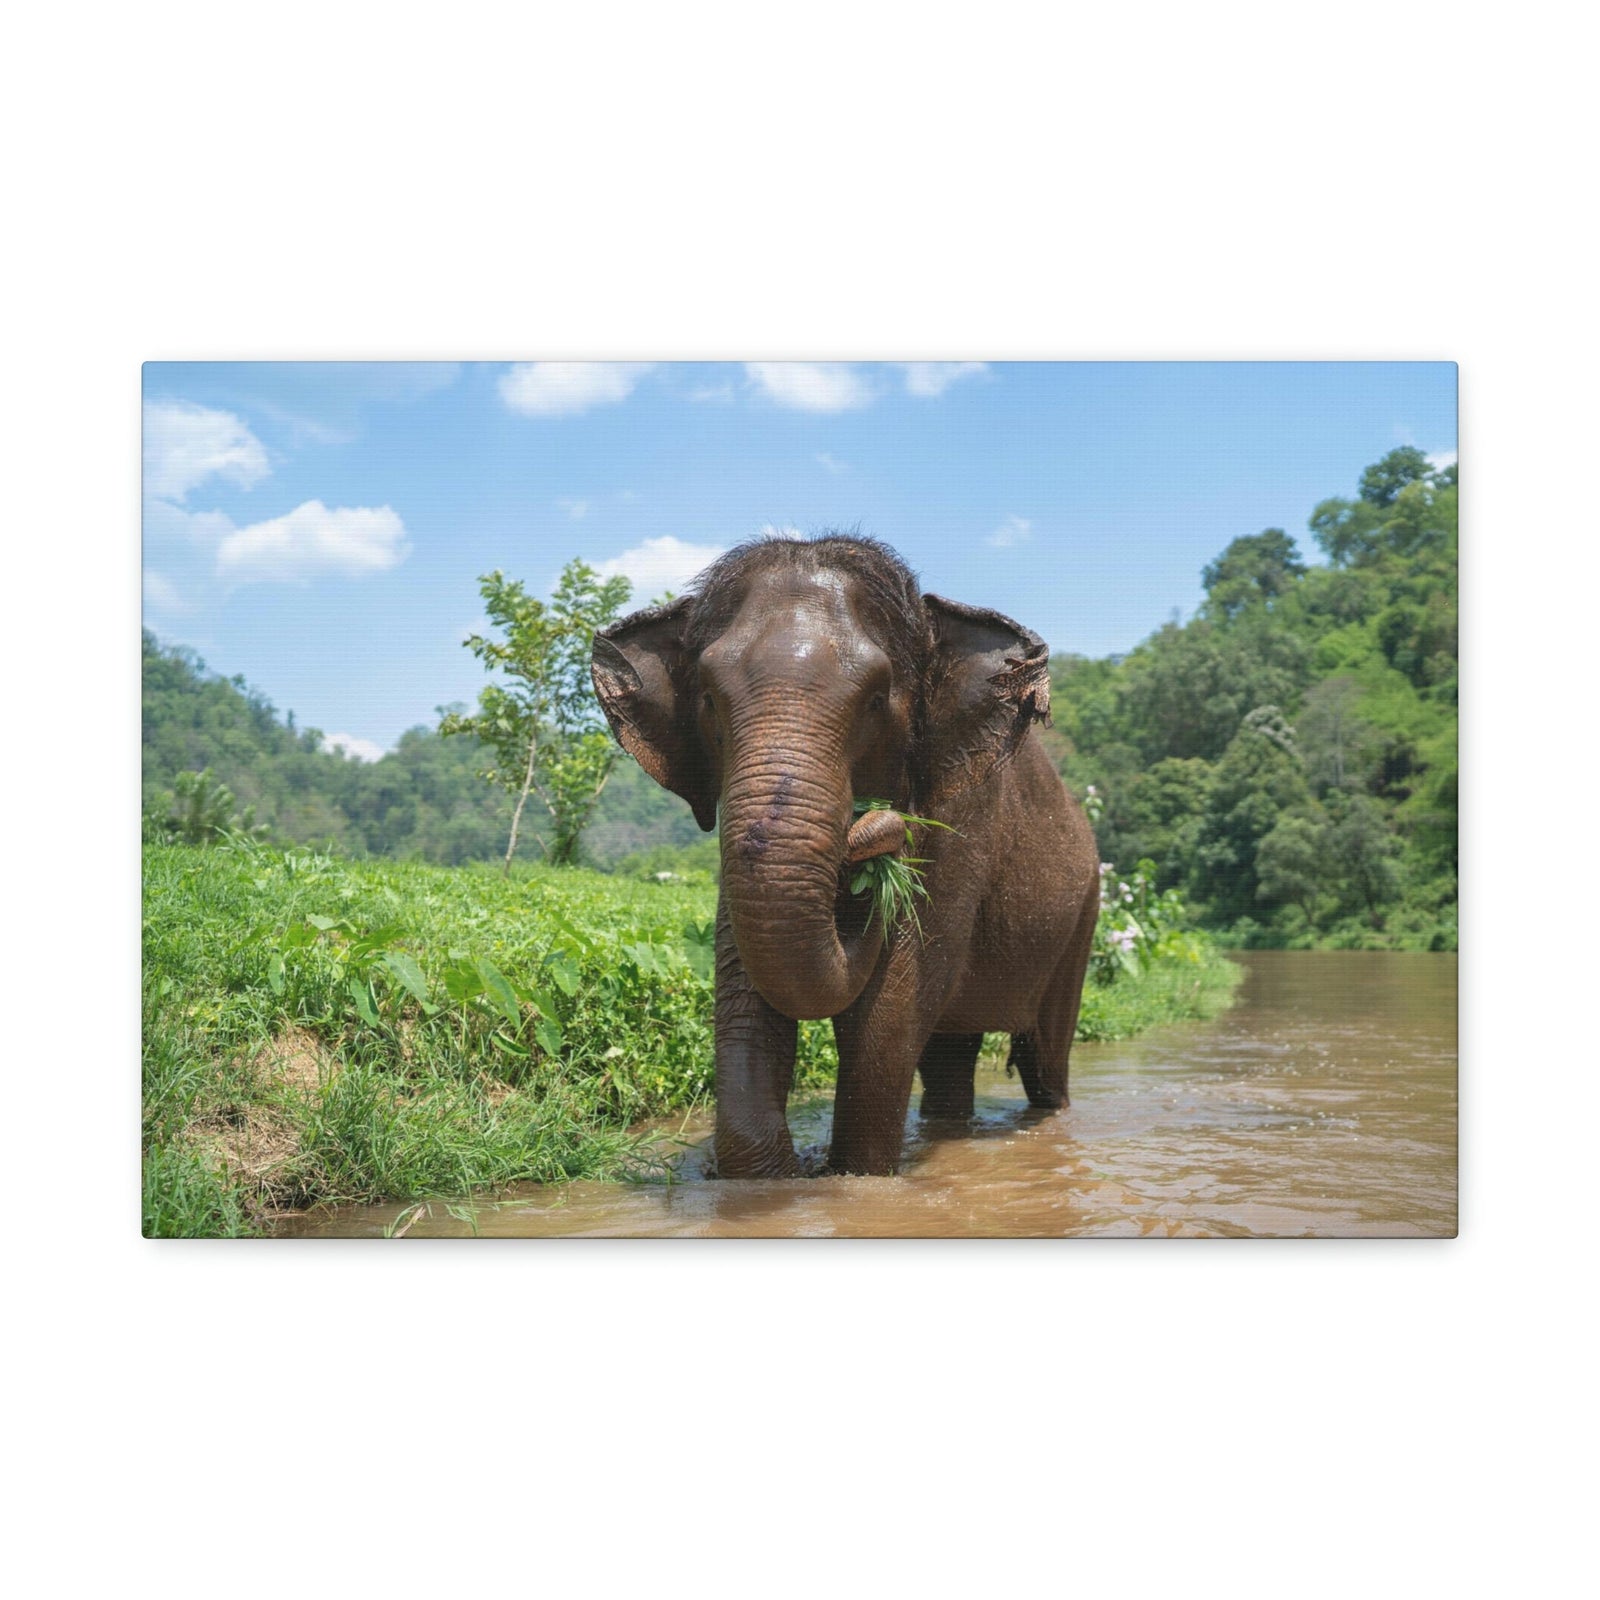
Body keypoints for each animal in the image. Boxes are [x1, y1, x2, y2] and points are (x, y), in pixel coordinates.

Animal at [591, 533, 1099, 1177]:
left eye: (877, 700)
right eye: (707, 698)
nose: (874, 828)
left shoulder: (963, 825)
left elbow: (888, 1012)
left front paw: (853, 1178)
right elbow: (747, 996)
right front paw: (773, 1177)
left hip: (1082, 917)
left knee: (1045, 1056)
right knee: (949, 1056)